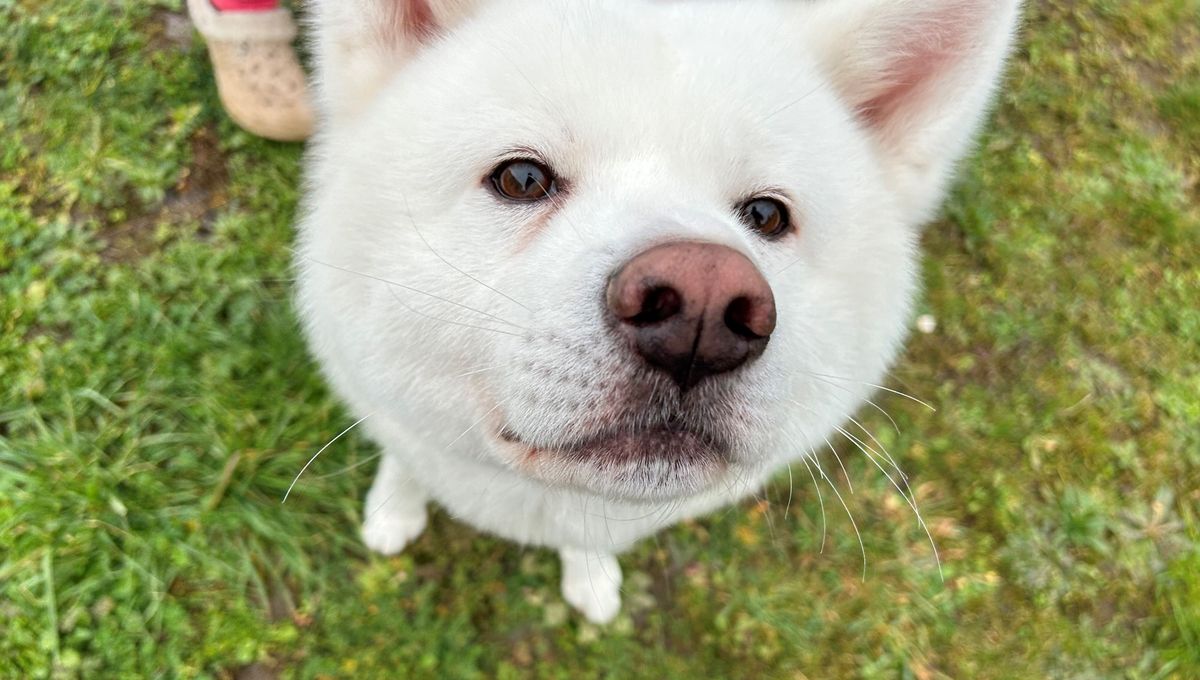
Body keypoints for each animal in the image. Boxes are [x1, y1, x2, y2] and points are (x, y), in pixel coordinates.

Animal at [297, 0, 1022, 623]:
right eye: (521, 179)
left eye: (767, 215)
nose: (702, 308)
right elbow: (404, 458)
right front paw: (394, 511)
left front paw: (590, 576)